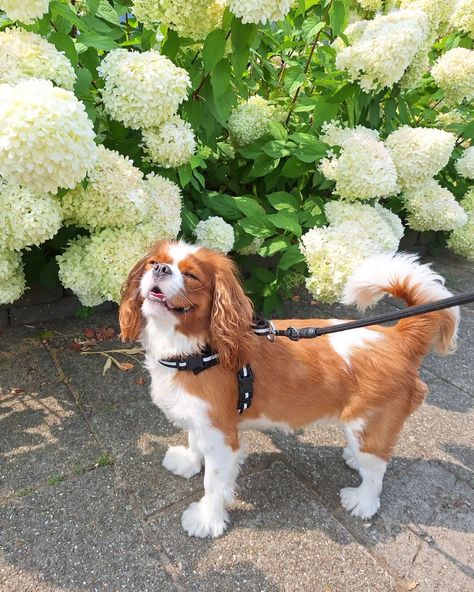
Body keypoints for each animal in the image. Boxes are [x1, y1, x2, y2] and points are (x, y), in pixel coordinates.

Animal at [117, 238, 460, 540]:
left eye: (190, 275)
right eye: (152, 262)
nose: (161, 269)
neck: (196, 352)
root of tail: (395, 338)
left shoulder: (221, 435)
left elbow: (213, 484)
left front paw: (206, 519)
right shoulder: (199, 419)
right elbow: (193, 440)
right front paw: (189, 462)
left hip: (370, 424)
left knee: (377, 470)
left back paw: (362, 501)